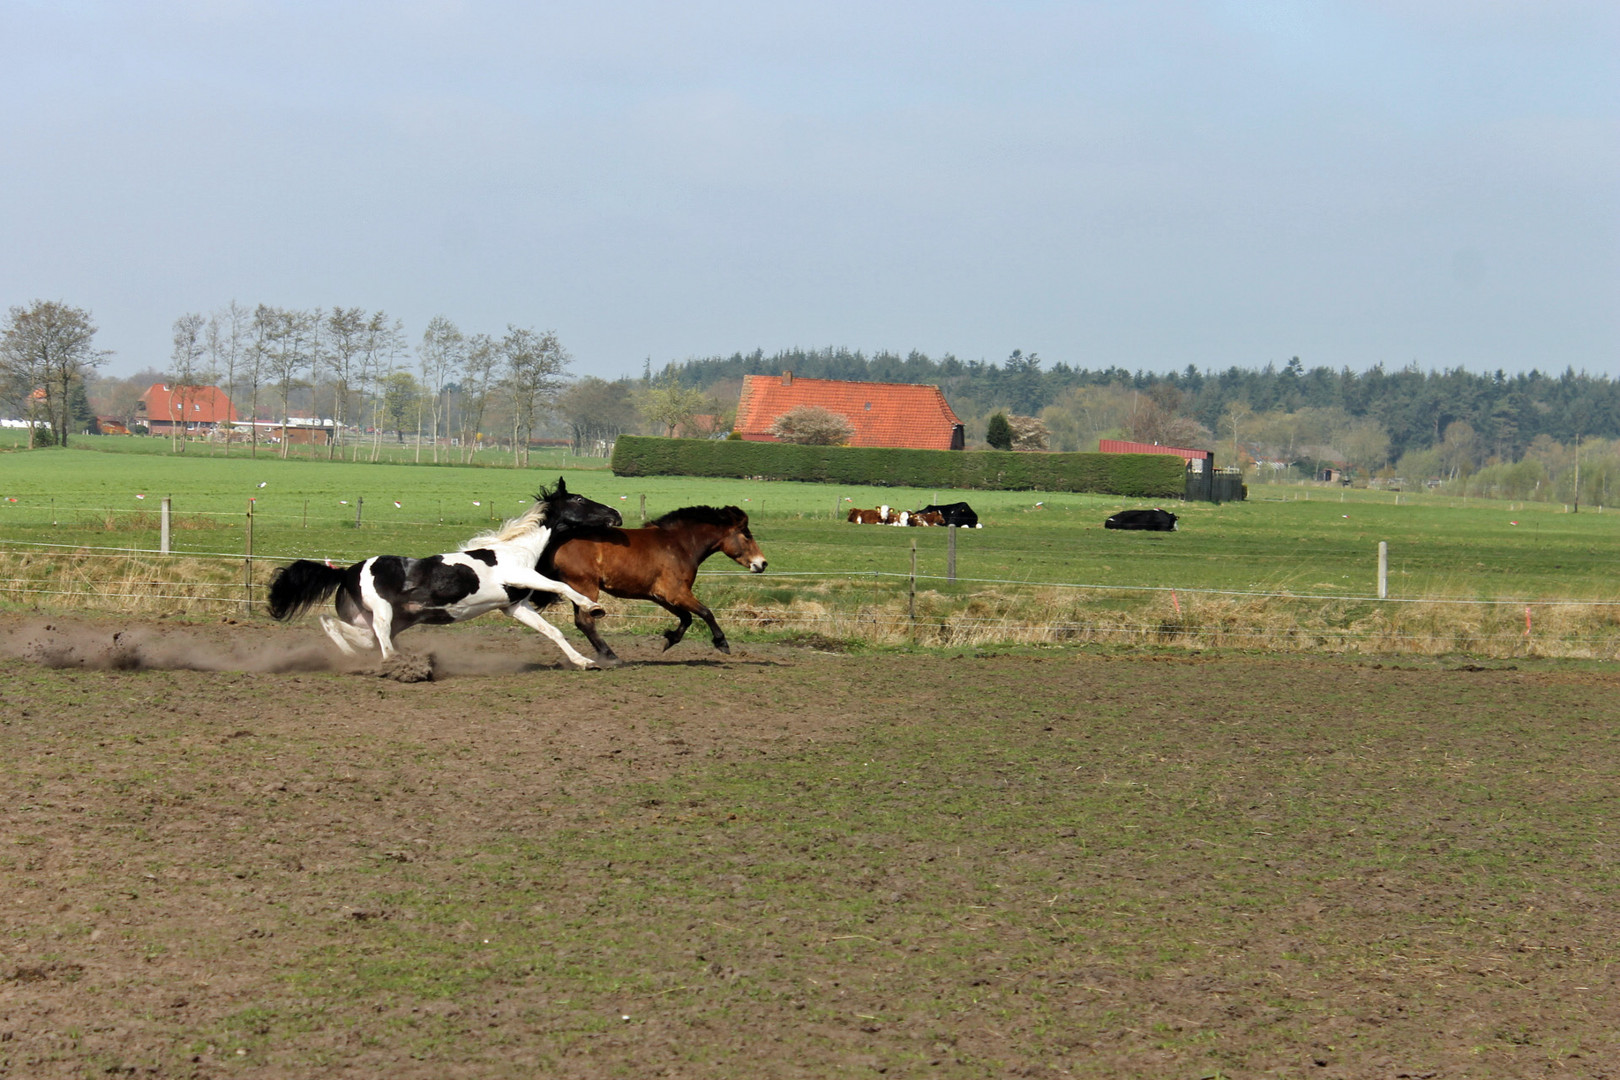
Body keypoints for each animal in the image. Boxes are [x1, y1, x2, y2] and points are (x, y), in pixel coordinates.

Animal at [265, 479, 618, 667]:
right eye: (578, 498)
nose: (615, 513)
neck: (518, 549)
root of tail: (346, 572)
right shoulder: (520, 575)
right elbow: (562, 586)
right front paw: (594, 607)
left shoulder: (515, 606)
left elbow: (552, 631)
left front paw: (584, 662)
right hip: (384, 613)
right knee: (380, 639)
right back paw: (396, 664)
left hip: (379, 618)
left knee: (341, 627)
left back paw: (354, 655)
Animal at [534, 508, 767, 667]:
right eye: (747, 534)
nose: (762, 563)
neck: (680, 545)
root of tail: (557, 542)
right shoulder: (677, 593)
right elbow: (706, 612)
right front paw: (722, 643)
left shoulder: (661, 596)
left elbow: (687, 618)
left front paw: (669, 640)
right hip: (585, 587)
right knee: (586, 622)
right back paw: (611, 656)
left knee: (582, 622)